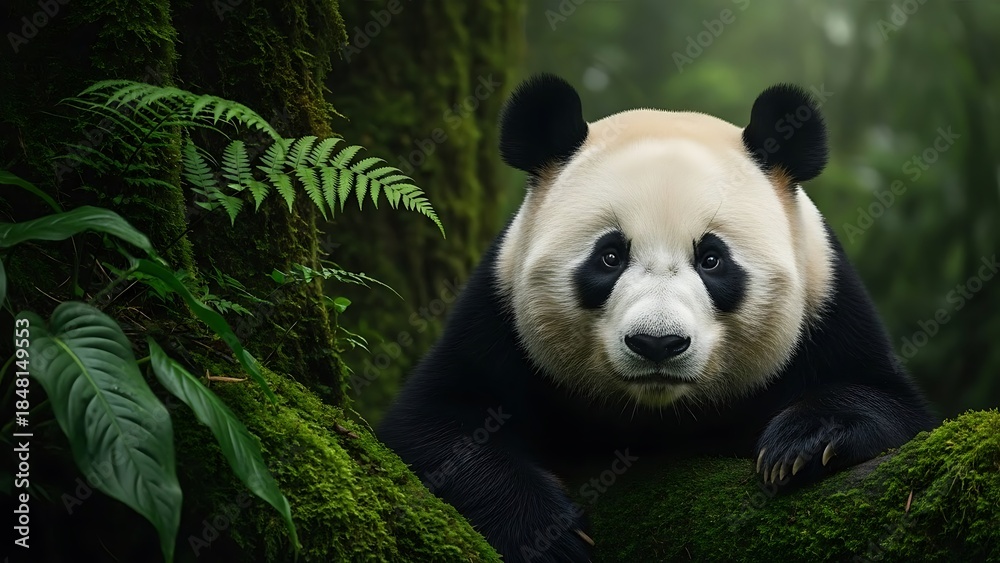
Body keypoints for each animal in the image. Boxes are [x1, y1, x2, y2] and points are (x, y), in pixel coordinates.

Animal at [379, 74, 935, 562]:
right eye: (609, 256)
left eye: (711, 259)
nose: (657, 344)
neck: (655, 414)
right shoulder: (497, 314)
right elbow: (439, 423)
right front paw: (549, 538)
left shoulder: (827, 305)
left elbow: (888, 403)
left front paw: (801, 446)